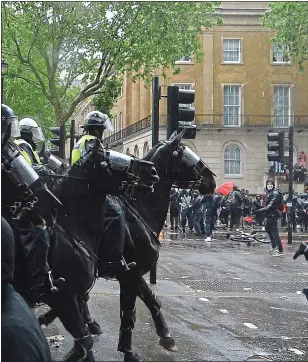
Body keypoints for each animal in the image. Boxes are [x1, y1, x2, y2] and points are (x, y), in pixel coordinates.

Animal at [39, 131, 217, 362]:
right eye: (184, 152)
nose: (211, 180)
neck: (140, 211)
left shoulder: (135, 272)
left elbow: (152, 301)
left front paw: (166, 336)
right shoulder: (129, 274)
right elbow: (128, 312)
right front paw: (128, 350)